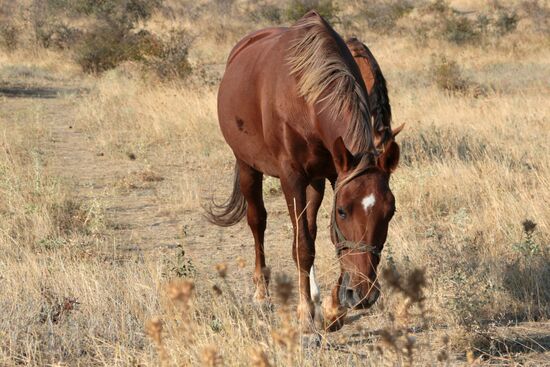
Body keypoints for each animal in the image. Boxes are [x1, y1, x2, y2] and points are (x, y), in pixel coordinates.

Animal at [206, 12, 402, 334]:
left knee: (308, 228)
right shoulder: (292, 178)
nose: (362, 294)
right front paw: (305, 316)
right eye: (343, 211)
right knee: (258, 222)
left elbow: (324, 238)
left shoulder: (334, 173)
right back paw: (261, 293)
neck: (305, 98)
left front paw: (333, 308)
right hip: (248, 166)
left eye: (390, 212)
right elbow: (302, 246)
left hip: (316, 181)